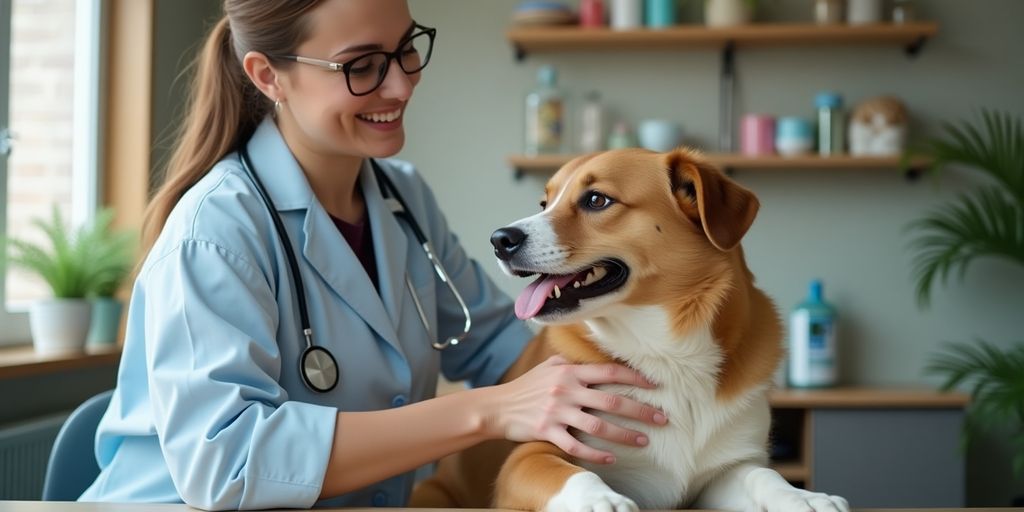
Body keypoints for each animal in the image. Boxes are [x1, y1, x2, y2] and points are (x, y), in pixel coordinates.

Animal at [407, 148, 847, 512]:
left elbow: (763, 474)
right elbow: (566, 472)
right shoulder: (531, 455)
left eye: (596, 200)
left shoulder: (724, 469)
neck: (668, 354)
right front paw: (600, 499)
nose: (499, 239)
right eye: (545, 203)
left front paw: (804, 497)